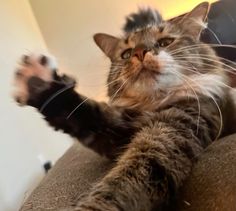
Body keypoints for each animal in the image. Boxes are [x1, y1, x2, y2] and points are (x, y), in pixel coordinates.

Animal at [13, 2, 236, 211]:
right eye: (127, 54)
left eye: (165, 42)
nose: (140, 52)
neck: (155, 104)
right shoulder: (116, 131)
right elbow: (86, 112)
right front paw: (37, 80)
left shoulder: (176, 127)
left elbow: (124, 183)